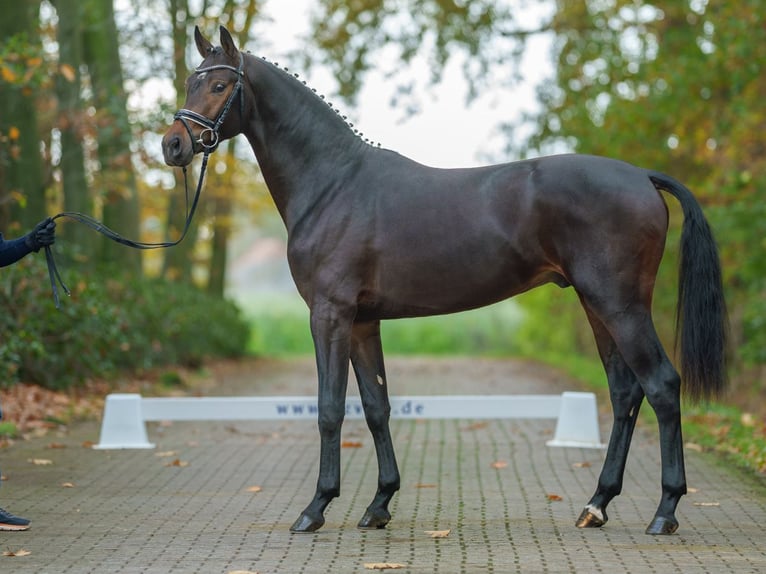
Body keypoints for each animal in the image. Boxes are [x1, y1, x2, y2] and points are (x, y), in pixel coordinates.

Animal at [164, 27, 732, 536]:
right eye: (191, 81)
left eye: (220, 85)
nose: (173, 144)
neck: (333, 184)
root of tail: (642, 177)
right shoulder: (363, 322)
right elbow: (377, 408)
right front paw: (379, 505)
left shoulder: (329, 314)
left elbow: (329, 409)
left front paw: (316, 507)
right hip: (597, 307)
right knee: (624, 393)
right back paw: (596, 505)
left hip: (620, 305)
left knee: (662, 386)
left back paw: (665, 512)